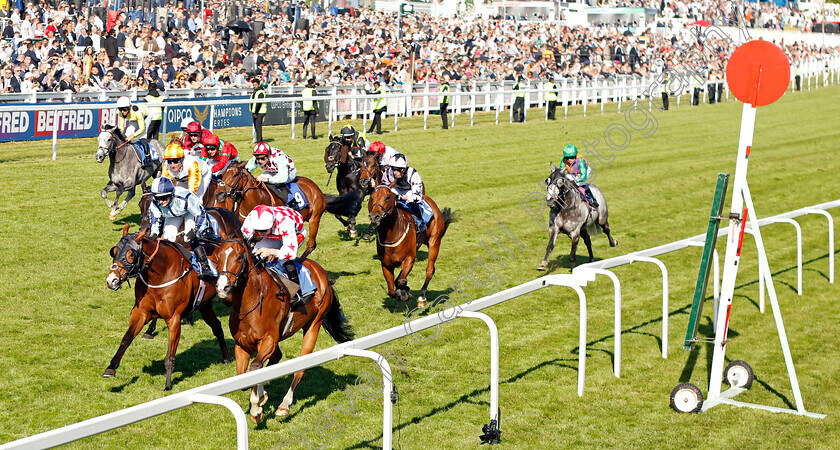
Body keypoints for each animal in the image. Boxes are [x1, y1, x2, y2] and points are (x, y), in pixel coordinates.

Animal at [104, 225, 233, 390]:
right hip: (205, 306)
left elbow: (170, 355)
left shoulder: (174, 319)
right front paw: (111, 367)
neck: (161, 274)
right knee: (217, 326)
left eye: (130, 254)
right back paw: (226, 358)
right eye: (114, 251)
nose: (111, 280)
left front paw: (168, 384)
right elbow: (126, 338)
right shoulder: (140, 312)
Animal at [210, 163, 360, 258]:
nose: (219, 194)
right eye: (222, 175)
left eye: (235, 175)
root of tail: (317, 189)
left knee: (311, 245)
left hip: (315, 218)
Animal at [213, 239, 354, 422]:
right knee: (276, 358)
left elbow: (255, 367)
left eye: (238, 257)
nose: (222, 288)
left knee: (300, 368)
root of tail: (320, 271)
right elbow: (244, 377)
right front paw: (261, 397)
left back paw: (284, 405)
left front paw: (256, 408)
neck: (250, 301)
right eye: (217, 257)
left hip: (314, 324)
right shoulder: (242, 344)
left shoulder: (268, 340)